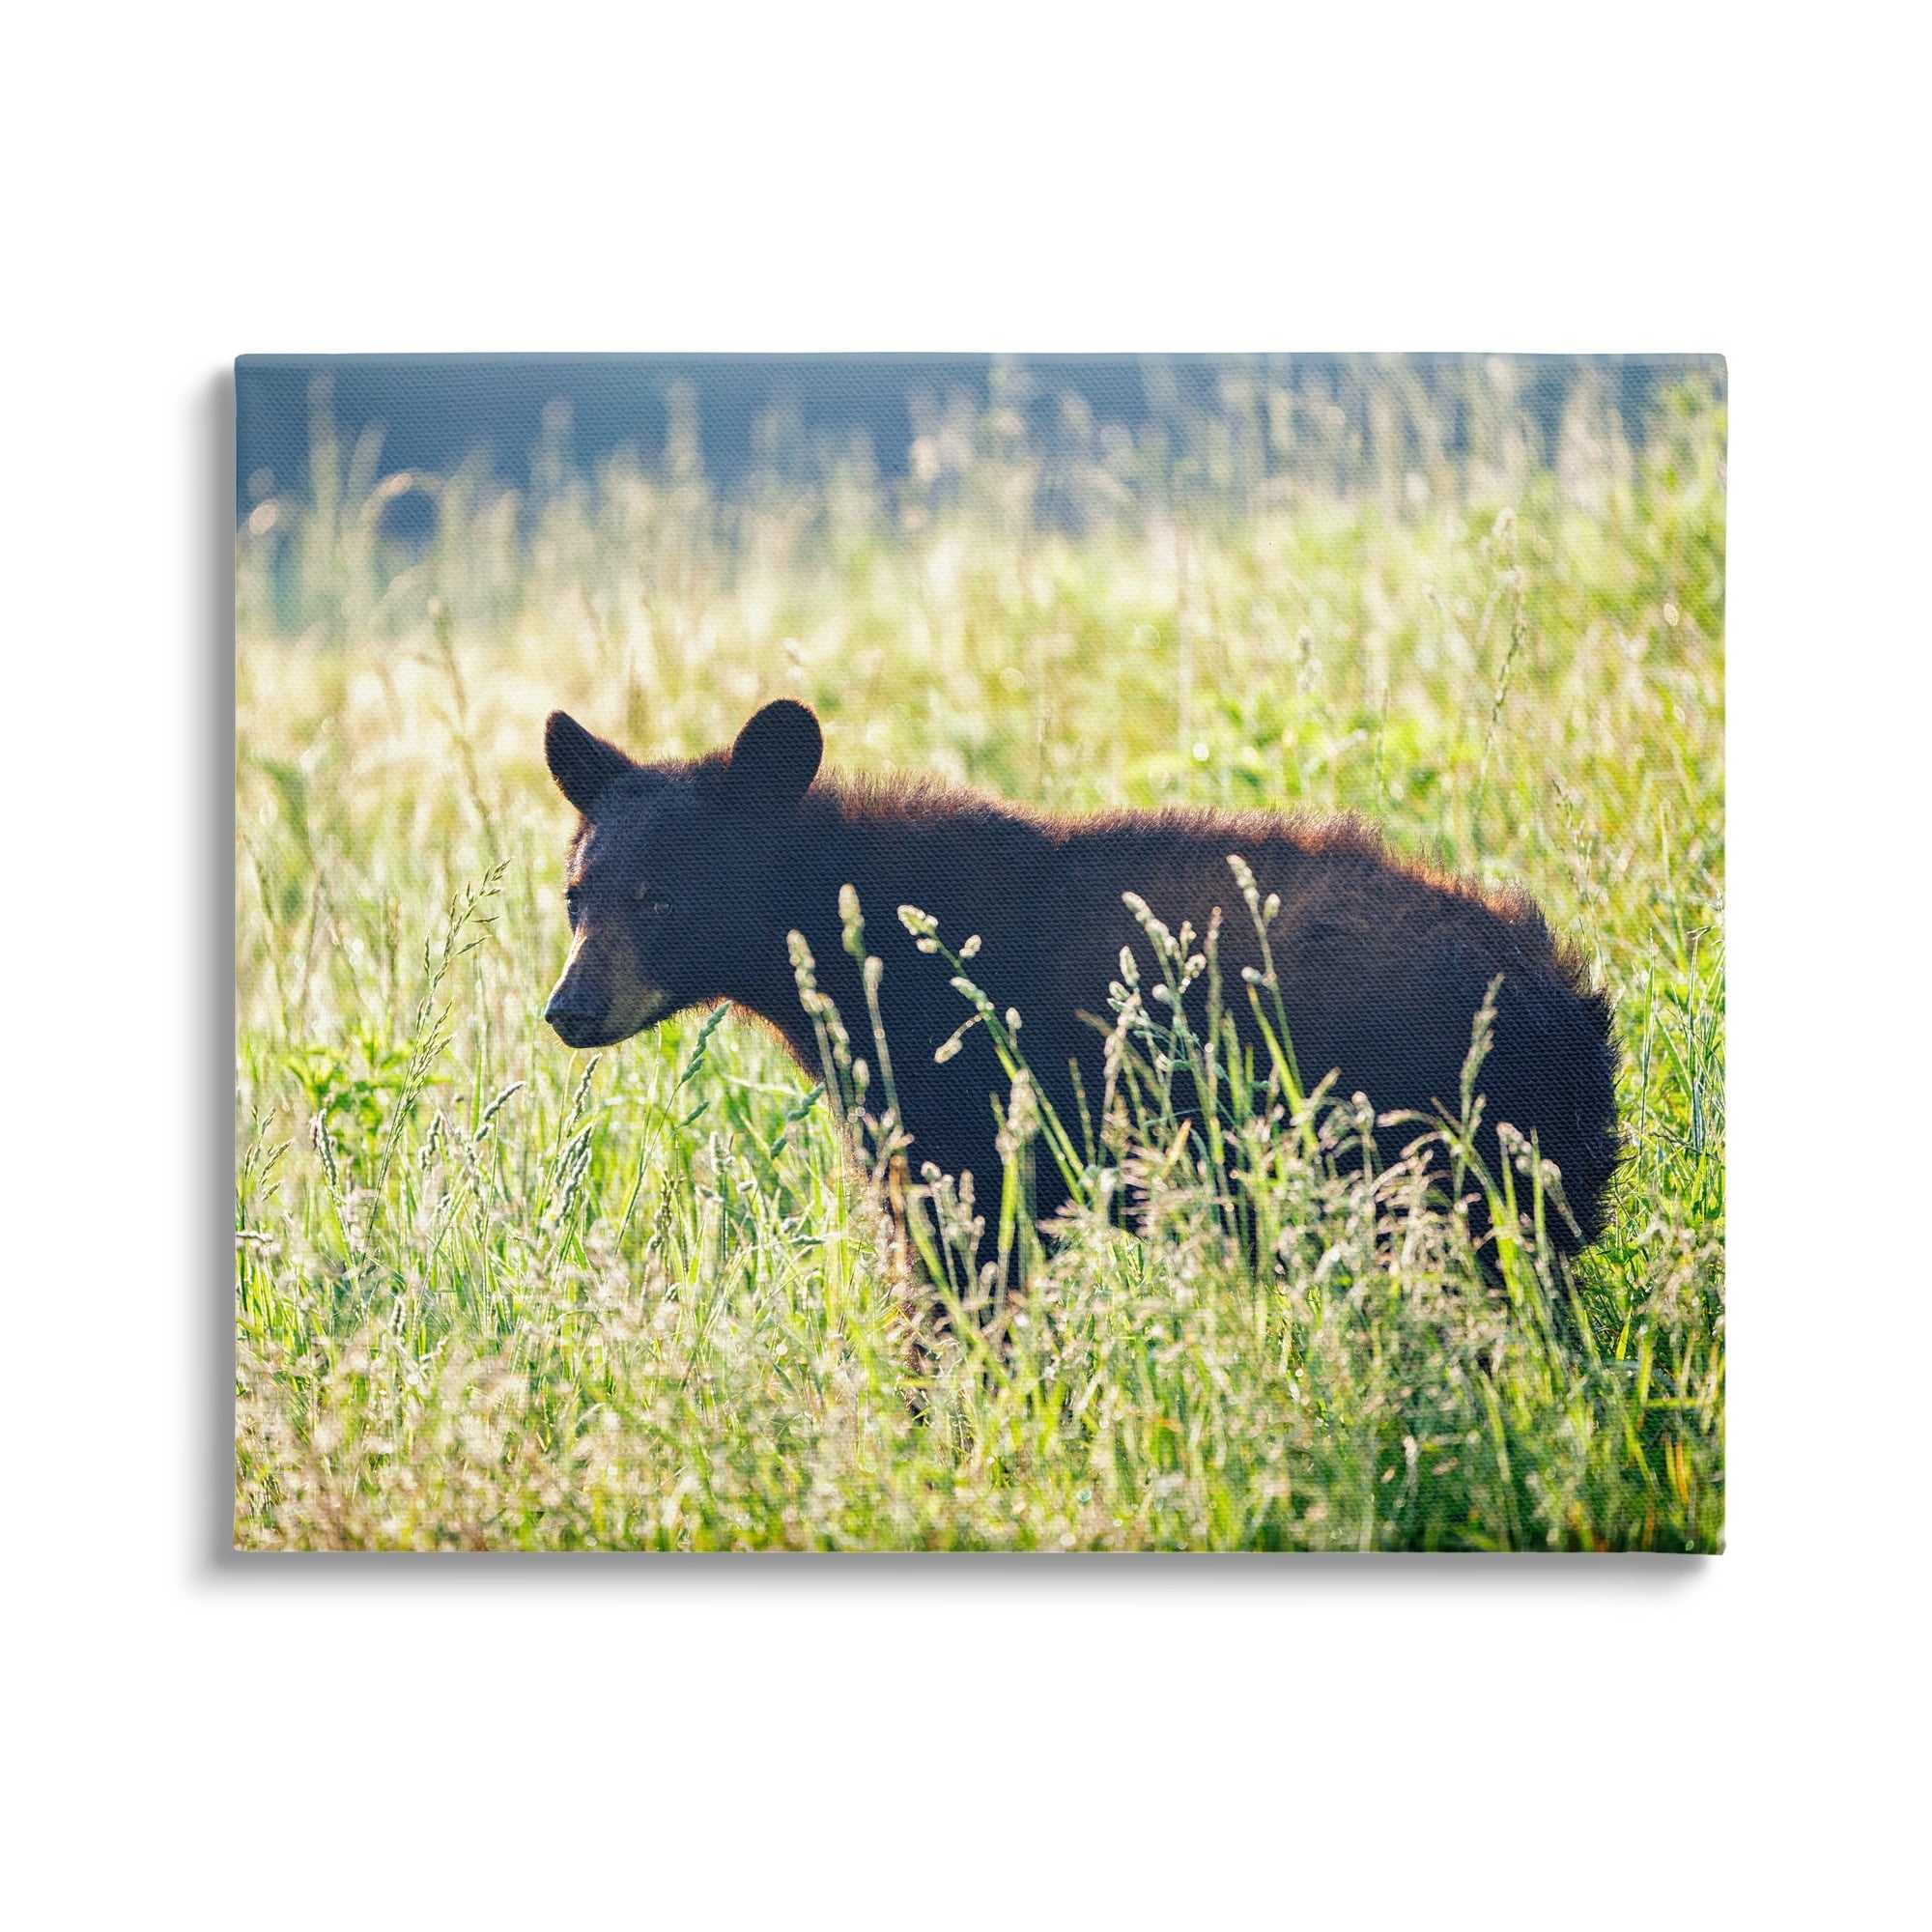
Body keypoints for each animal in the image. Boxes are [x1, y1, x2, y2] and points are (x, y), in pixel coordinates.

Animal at [542, 699, 1620, 1257]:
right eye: (575, 894)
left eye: (660, 899)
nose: (569, 1010)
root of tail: (1565, 1007)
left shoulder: (969, 1125)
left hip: (1430, 1158)